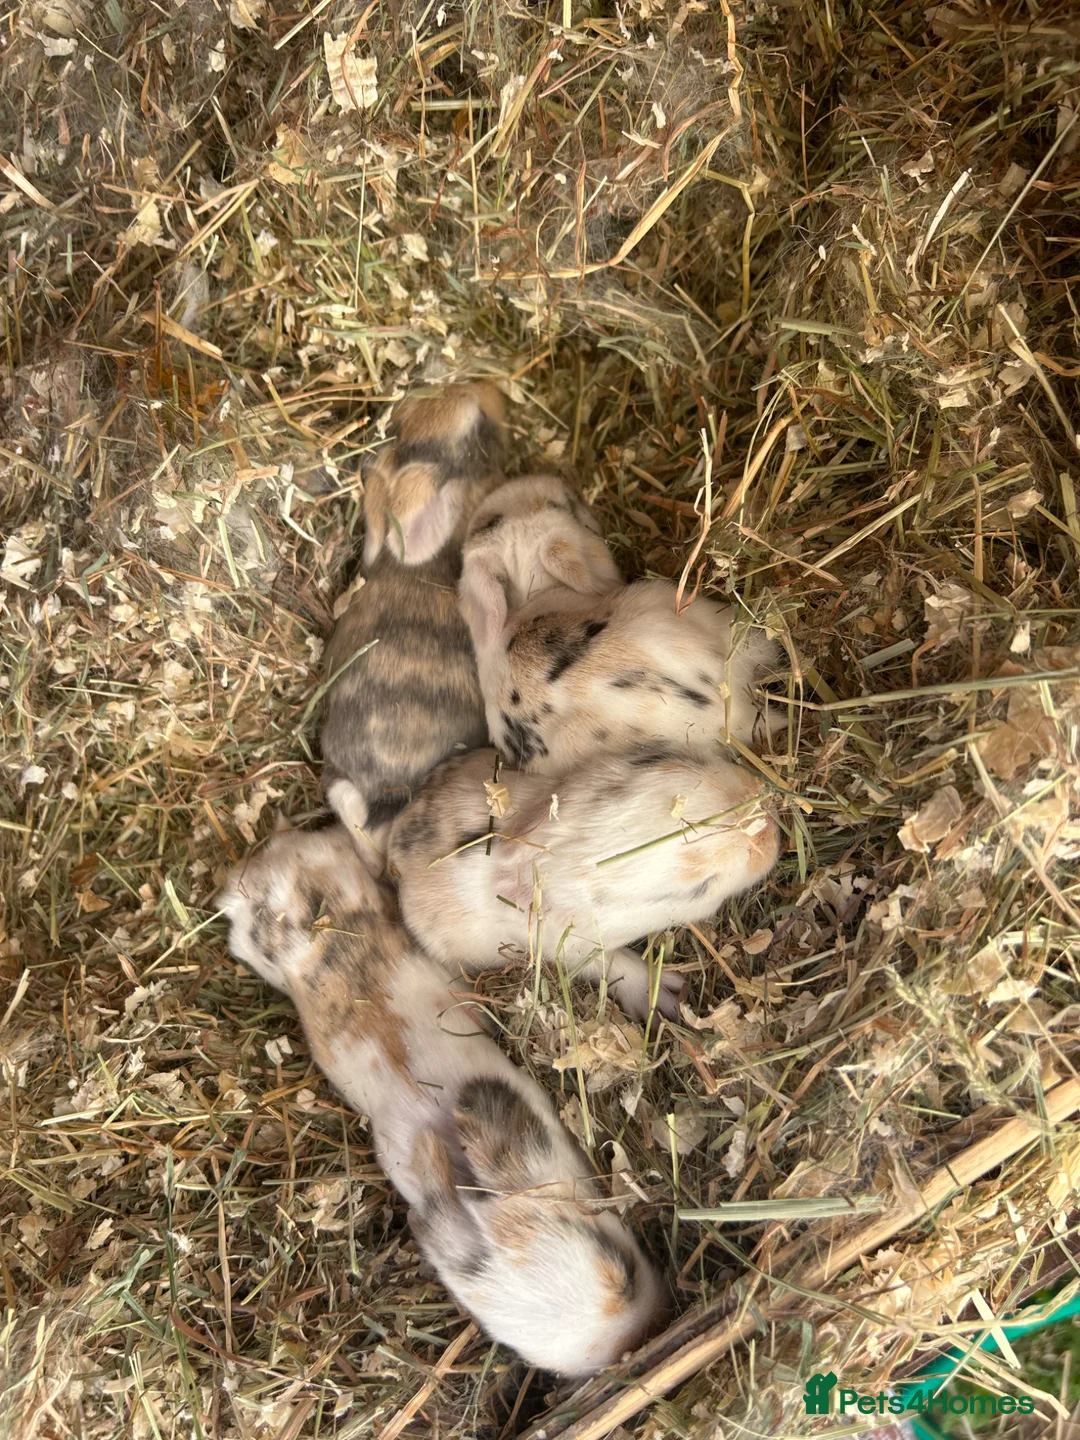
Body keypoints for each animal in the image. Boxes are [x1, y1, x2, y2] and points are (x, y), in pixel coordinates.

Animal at [387, 745, 780, 1022]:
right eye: (698, 889)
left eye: (659, 757)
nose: (772, 830)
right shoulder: (573, 950)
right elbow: (614, 965)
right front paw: (668, 996)